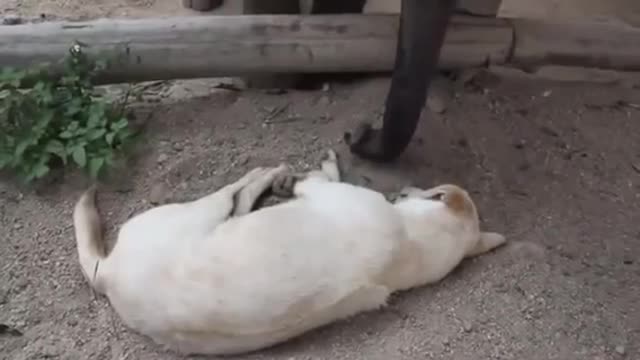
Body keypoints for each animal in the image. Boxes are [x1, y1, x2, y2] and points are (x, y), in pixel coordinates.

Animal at [74, 148, 504, 354]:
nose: (403, 189)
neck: (412, 247)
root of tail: (107, 275)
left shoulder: (325, 192)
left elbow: (318, 179)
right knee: (237, 201)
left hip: (194, 213)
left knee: (233, 192)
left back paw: (261, 175)